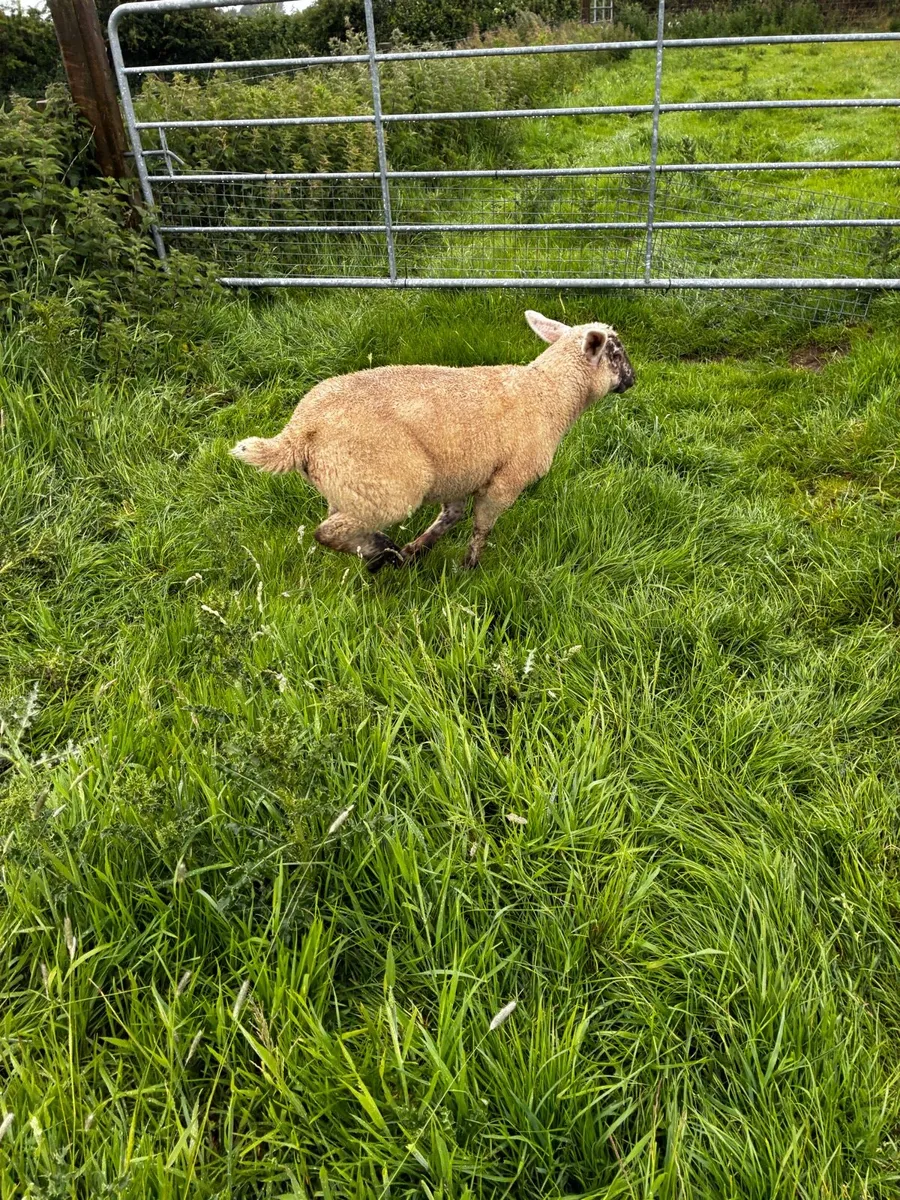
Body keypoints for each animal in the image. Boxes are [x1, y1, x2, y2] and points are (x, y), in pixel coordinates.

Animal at [230, 309, 635, 571]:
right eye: (615, 354)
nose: (633, 379)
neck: (547, 394)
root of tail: (298, 431)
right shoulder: (505, 481)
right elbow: (481, 526)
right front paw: (468, 567)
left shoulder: (460, 474)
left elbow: (451, 517)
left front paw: (418, 549)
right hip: (387, 484)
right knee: (327, 531)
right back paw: (380, 551)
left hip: (348, 483)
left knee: (339, 522)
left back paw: (385, 553)